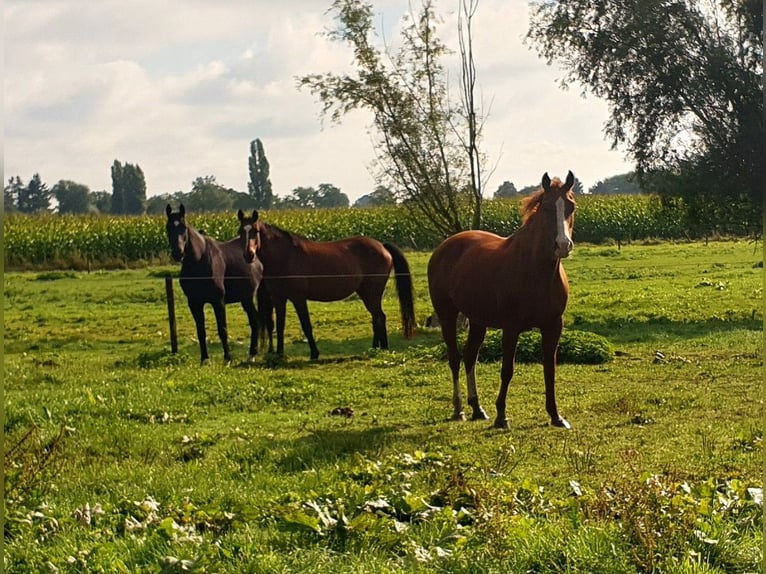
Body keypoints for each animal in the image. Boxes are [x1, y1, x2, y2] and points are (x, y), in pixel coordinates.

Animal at [237, 209, 416, 362]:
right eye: (240, 232)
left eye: (255, 231)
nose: (248, 255)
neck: (284, 256)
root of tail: (382, 246)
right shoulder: (279, 298)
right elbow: (280, 326)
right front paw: (279, 354)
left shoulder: (298, 298)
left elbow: (306, 325)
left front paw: (314, 353)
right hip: (366, 293)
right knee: (376, 318)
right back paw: (374, 349)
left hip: (372, 293)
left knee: (379, 317)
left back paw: (383, 349)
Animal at [426, 173, 576, 430]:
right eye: (546, 207)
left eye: (571, 206)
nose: (563, 245)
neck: (535, 270)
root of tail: (444, 247)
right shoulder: (511, 327)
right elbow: (507, 370)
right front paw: (502, 416)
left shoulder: (553, 326)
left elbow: (550, 370)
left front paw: (556, 416)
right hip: (447, 315)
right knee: (455, 359)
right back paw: (459, 409)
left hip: (478, 322)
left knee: (470, 358)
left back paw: (477, 409)